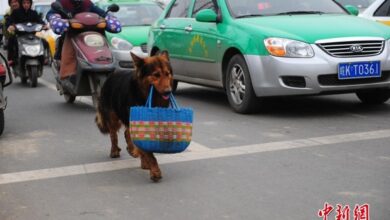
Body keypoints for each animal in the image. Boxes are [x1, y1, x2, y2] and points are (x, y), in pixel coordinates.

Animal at [94, 51, 172, 182]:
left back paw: (134, 152)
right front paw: (155, 170)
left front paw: (147, 163)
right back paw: (114, 151)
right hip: (113, 117)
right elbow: (148, 152)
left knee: (127, 133)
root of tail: (113, 74)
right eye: (156, 75)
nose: (169, 91)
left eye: (167, 74)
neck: (145, 95)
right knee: (113, 135)